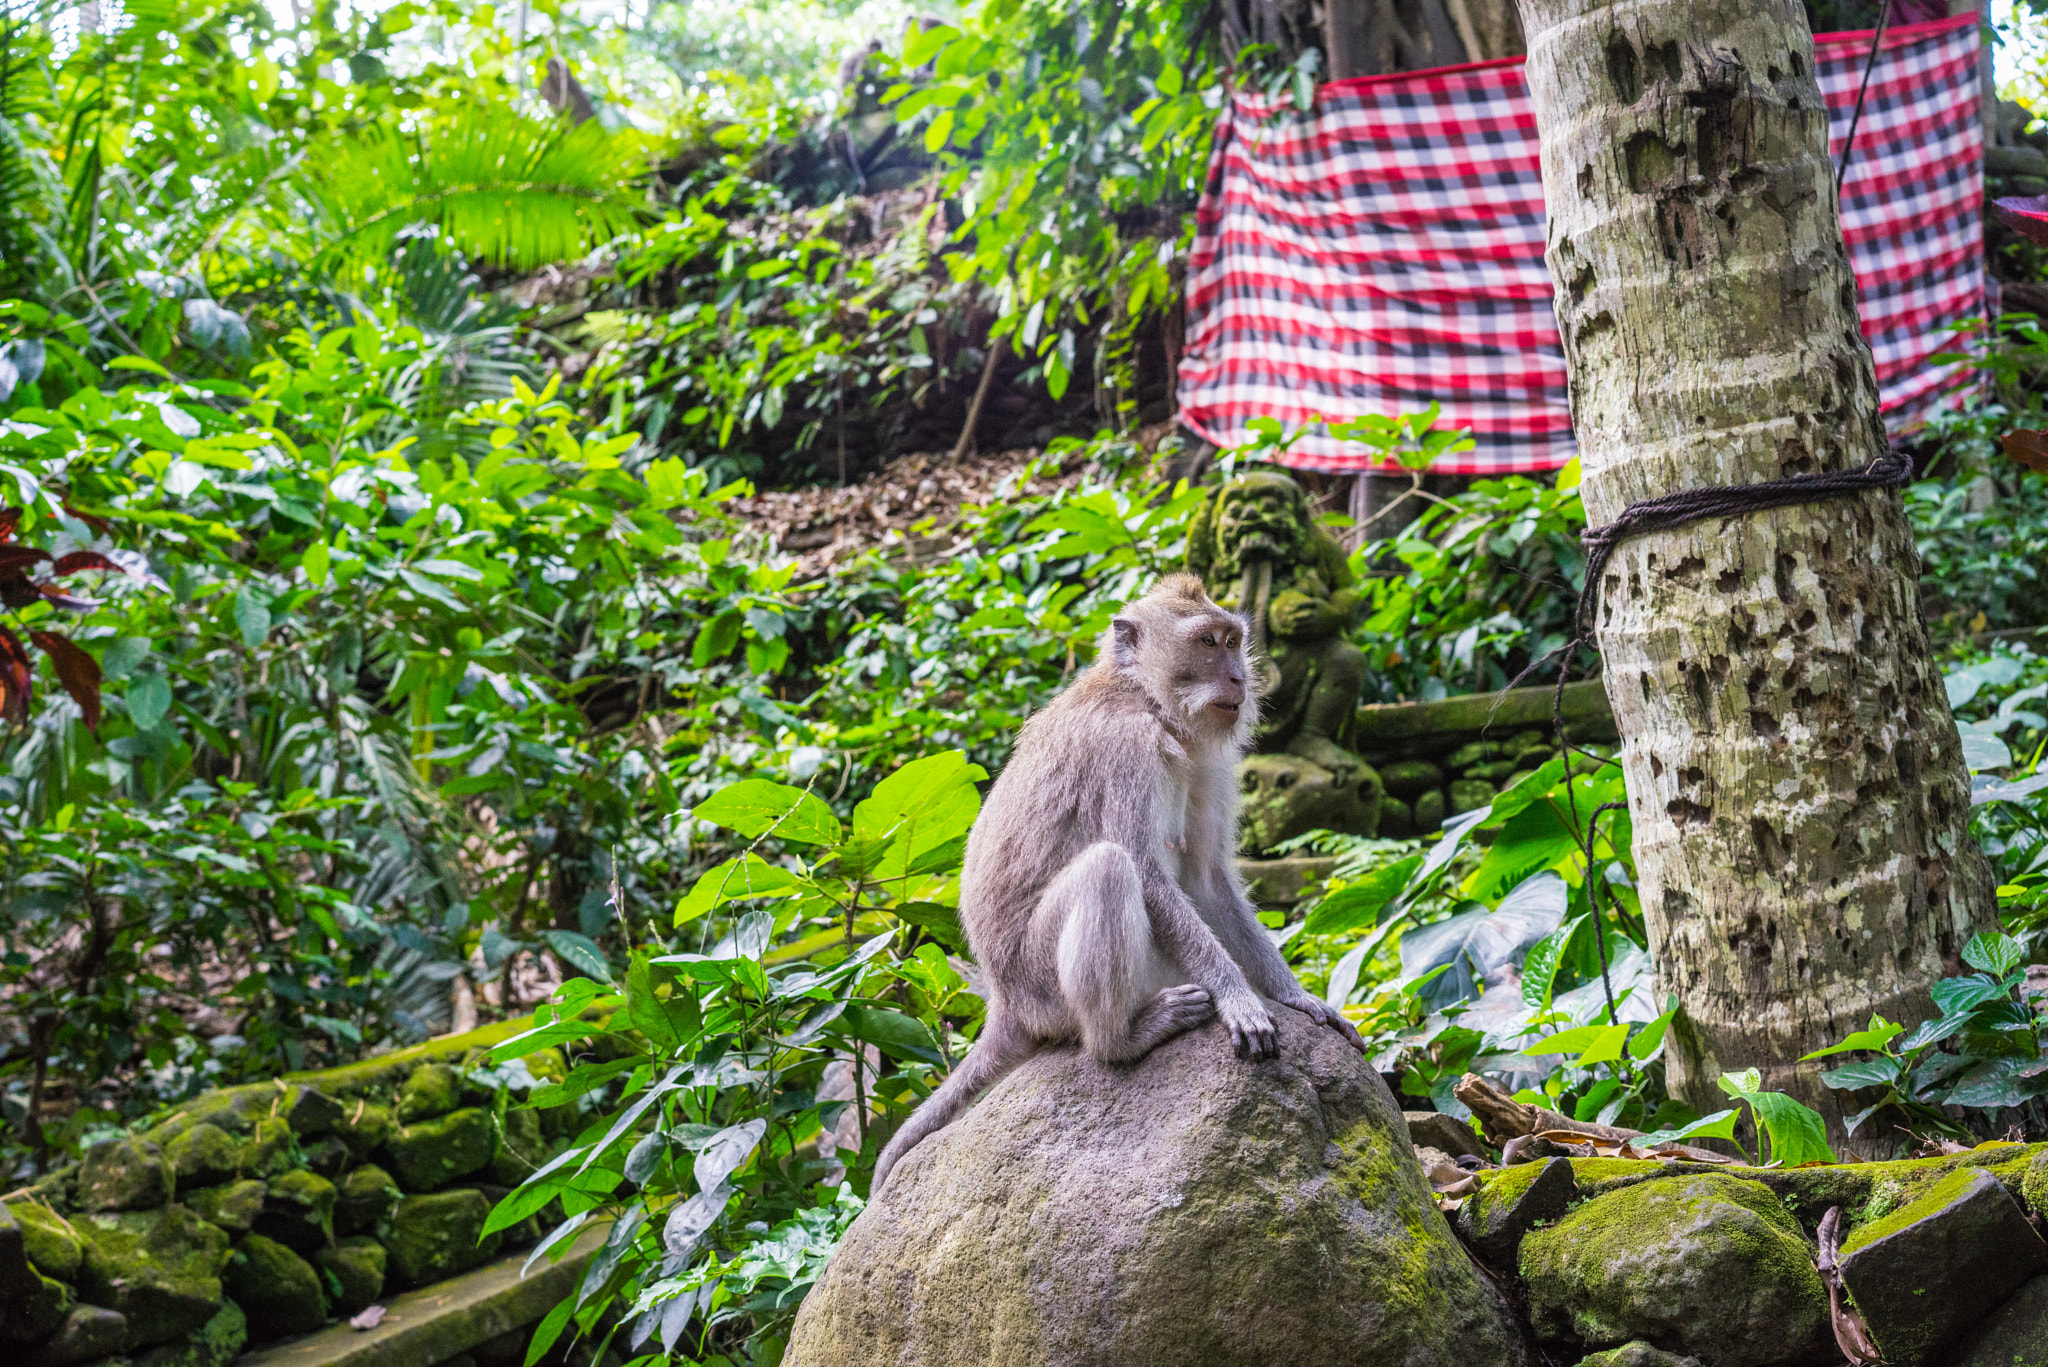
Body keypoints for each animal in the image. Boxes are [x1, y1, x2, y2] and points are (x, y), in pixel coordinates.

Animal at [871, 573, 1365, 1193]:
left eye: (1233, 641)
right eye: (1207, 643)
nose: (1239, 678)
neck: (1146, 699)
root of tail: (1005, 1004)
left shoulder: (1208, 761)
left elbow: (1207, 882)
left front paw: (1298, 998)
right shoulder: (1124, 749)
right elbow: (1147, 874)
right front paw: (1238, 997)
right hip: (1043, 988)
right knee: (1108, 868)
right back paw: (1121, 1040)